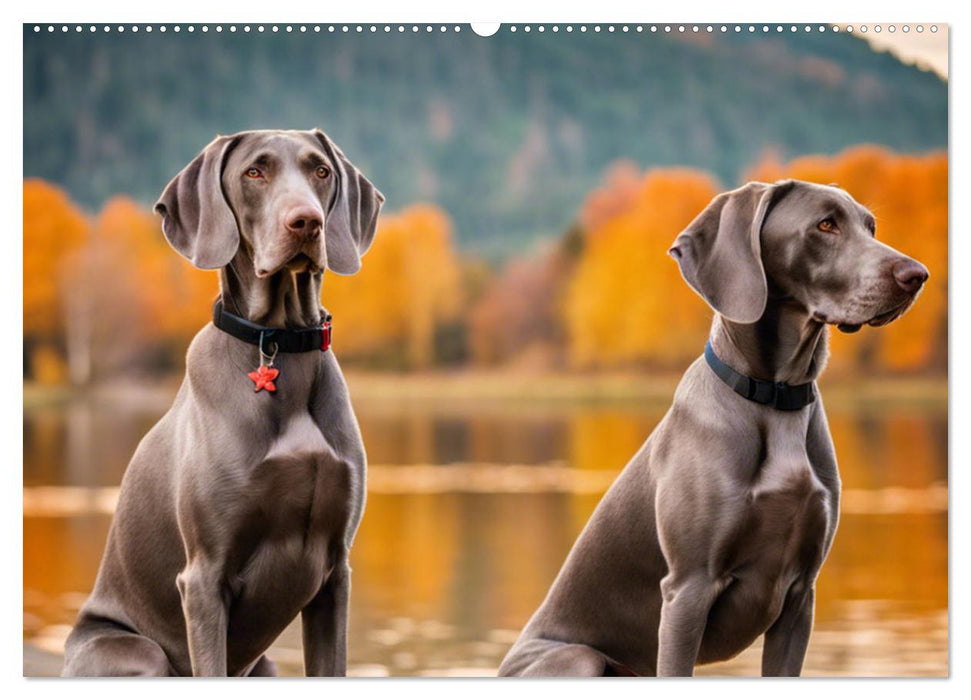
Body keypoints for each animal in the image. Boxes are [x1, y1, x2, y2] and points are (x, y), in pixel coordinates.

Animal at [61, 129, 384, 676]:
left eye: (321, 171)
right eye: (255, 172)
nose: (306, 222)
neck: (279, 345)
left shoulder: (334, 575)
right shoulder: (204, 578)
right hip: (139, 652)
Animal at [502, 180, 936, 680]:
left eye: (871, 227)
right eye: (826, 225)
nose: (917, 275)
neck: (775, 397)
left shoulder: (801, 597)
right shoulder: (688, 590)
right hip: (579, 657)